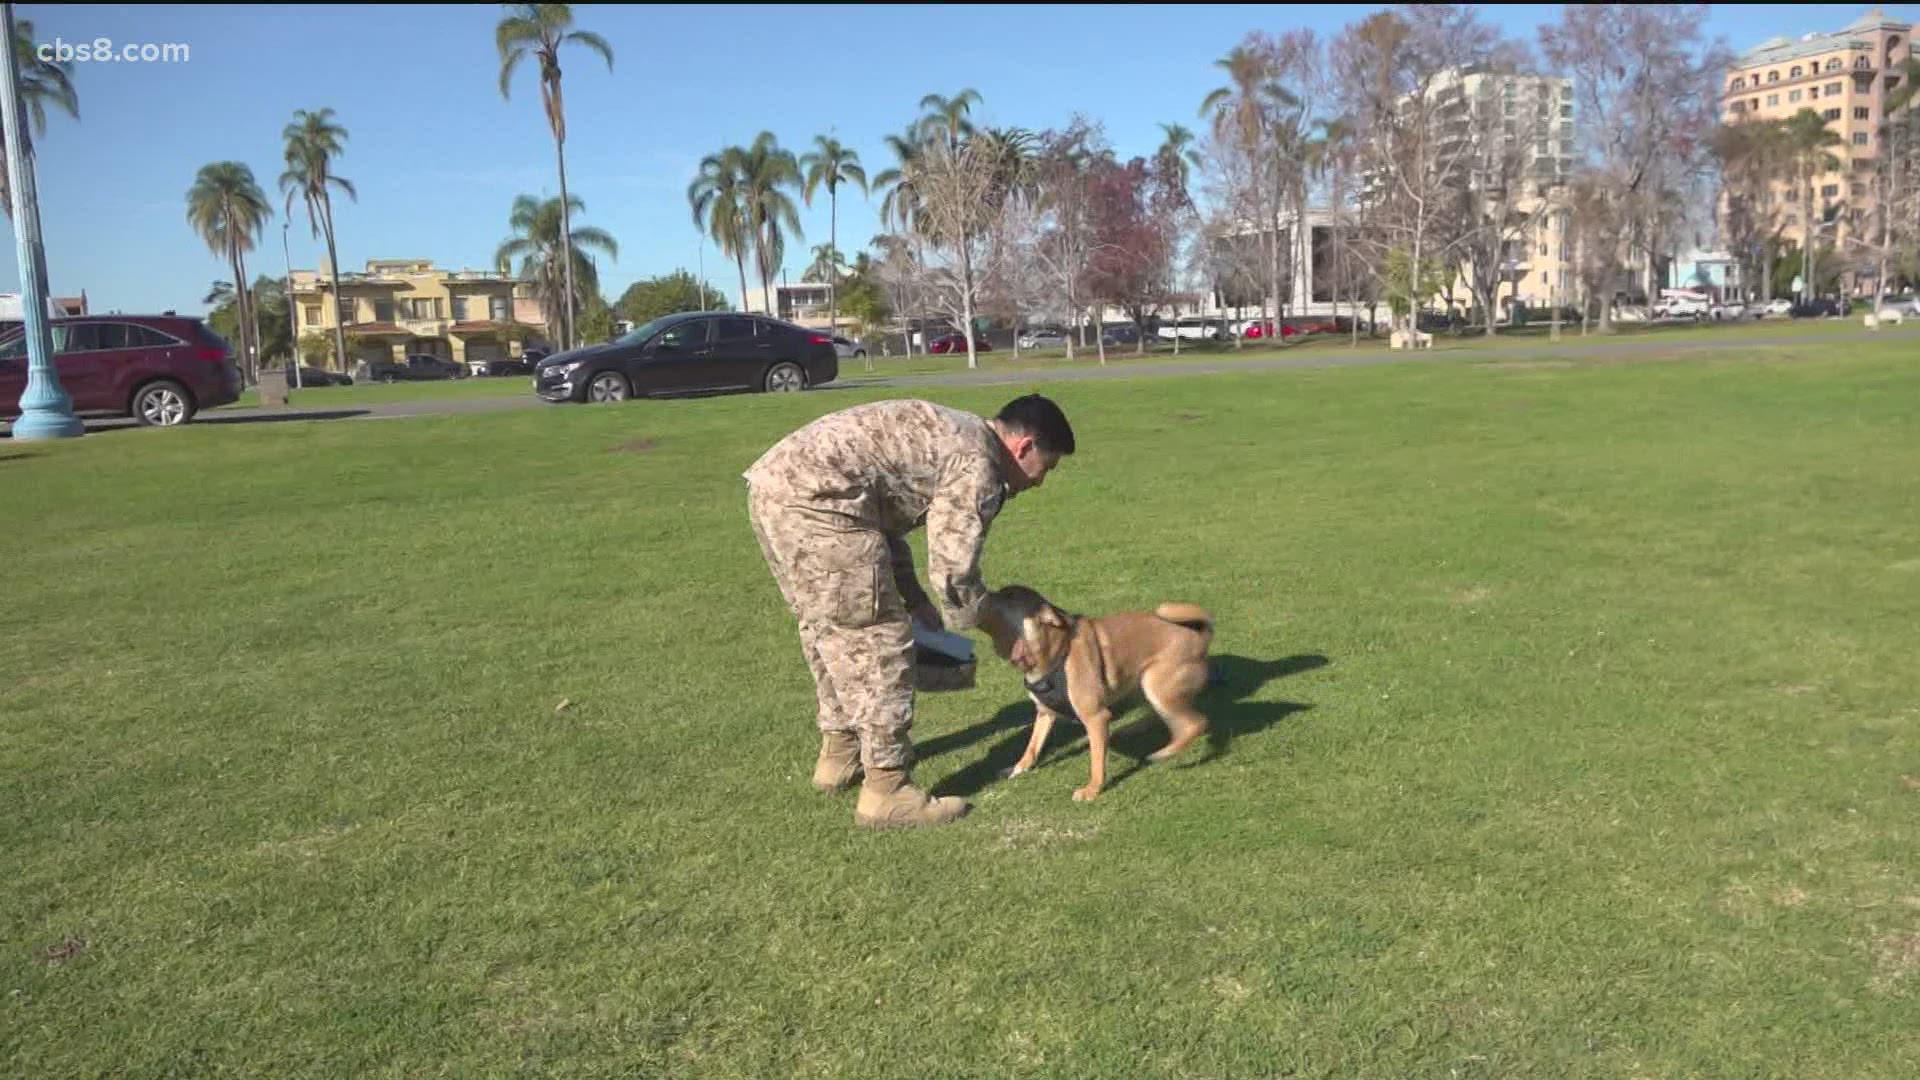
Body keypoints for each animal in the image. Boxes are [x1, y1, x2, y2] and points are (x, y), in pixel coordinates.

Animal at [983, 580, 1205, 799]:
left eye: (1010, 595)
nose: (987, 593)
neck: (1057, 653)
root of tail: (1200, 633)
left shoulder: (1095, 718)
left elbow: (1096, 761)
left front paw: (1092, 790)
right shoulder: (1045, 713)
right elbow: (1032, 746)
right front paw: (1017, 768)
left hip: (1156, 685)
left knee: (1195, 724)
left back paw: (1164, 752)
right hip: (1143, 682)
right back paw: (1134, 729)